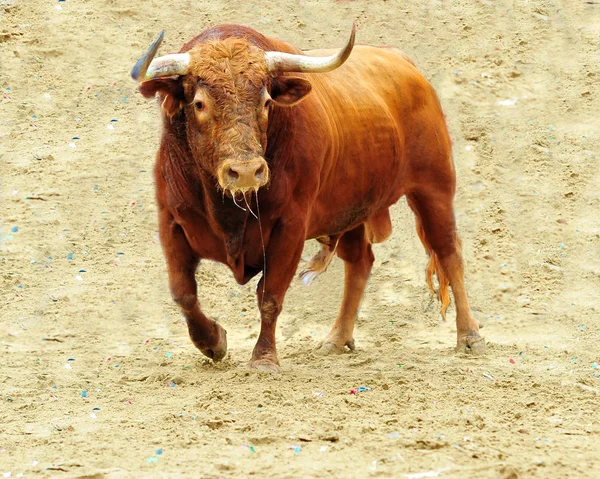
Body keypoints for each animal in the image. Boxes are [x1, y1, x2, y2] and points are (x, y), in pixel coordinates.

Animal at [132, 24, 488, 374]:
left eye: (266, 102)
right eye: (199, 103)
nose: (246, 172)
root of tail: (403, 62)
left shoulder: (290, 227)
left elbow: (270, 295)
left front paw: (263, 359)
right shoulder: (171, 222)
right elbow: (183, 294)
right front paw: (213, 342)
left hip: (434, 187)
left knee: (449, 251)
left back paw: (469, 336)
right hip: (350, 209)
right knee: (360, 262)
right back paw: (336, 338)